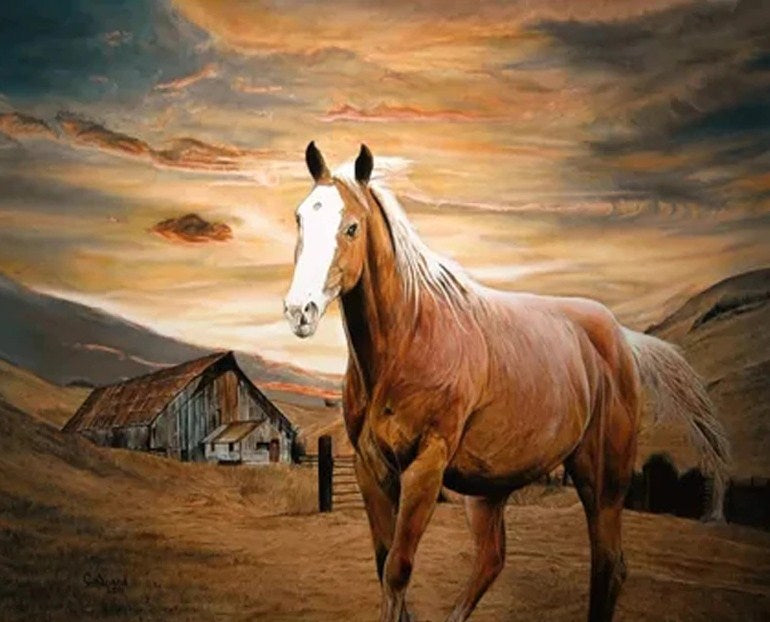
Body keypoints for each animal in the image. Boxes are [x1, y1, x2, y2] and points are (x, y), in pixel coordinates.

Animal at [283, 142, 730, 622]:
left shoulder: (426, 465)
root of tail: (621, 337)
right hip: (488, 491)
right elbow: (385, 567)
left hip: (602, 481)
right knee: (491, 559)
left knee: (609, 565)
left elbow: (398, 570)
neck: (409, 339)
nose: (299, 311)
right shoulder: (371, 467)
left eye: (351, 227)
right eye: (300, 218)